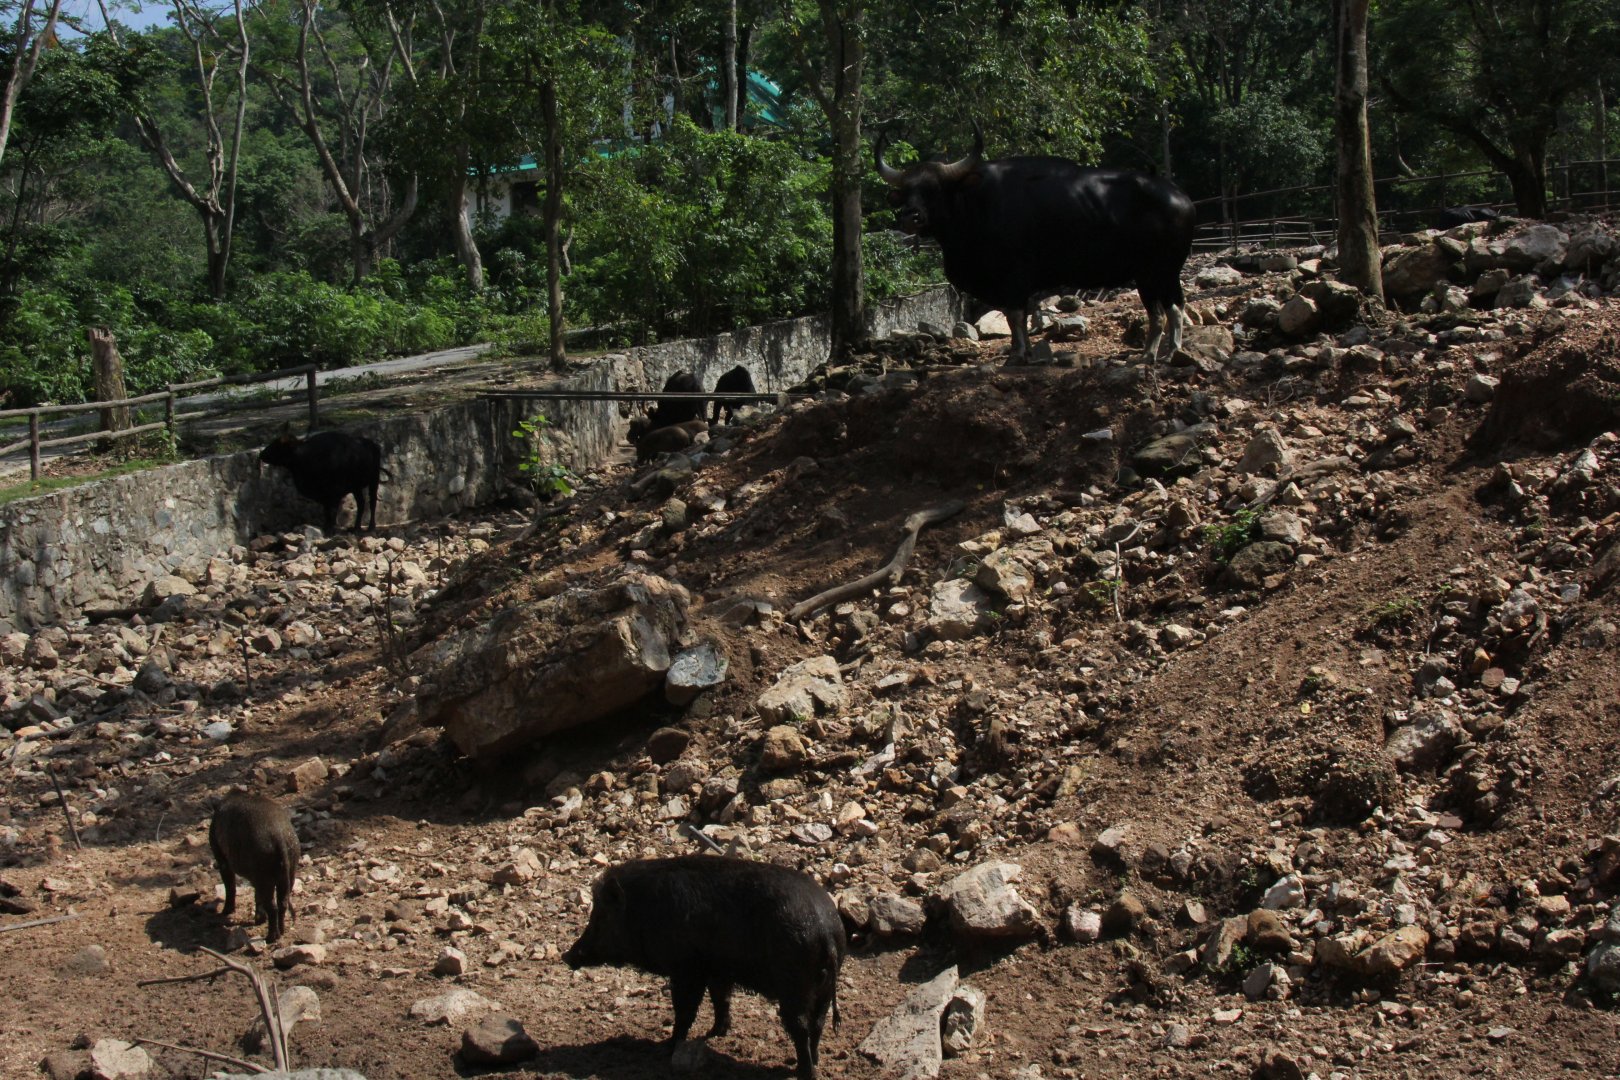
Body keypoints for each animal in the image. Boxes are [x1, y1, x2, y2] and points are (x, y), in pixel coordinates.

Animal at [208, 792, 299, 943]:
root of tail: (279, 837)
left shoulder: (222, 859)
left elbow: (230, 886)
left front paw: (225, 912)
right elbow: (257, 895)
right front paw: (259, 919)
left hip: (265, 873)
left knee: (272, 906)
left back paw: (271, 938)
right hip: (290, 868)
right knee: (282, 902)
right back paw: (282, 931)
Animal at [564, 855, 846, 1079]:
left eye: (601, 917)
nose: (568, 956)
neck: (644, 910)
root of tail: (825, 931)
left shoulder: (686, 970)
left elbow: (685, 1010)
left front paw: (668, 1048)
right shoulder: (717, 971)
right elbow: (721, 1000)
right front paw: (714, 1034)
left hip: (794, 985)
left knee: (801, 1025)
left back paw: (805, 1072)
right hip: (821, 988)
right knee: (818, 1023)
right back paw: (815, 1061)